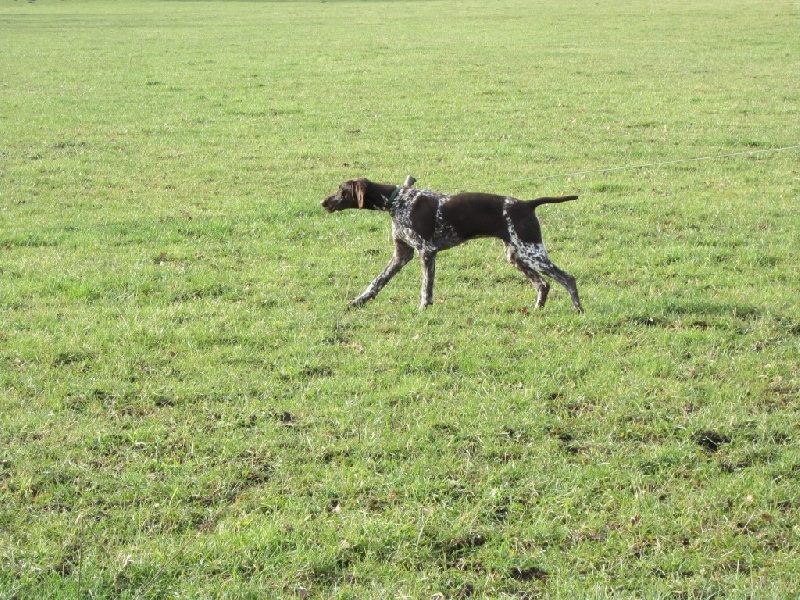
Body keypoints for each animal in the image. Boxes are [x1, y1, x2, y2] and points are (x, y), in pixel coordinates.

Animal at [318, 177, 580, 310]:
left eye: (341, 190)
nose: (323, 202)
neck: (397, 202)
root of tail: (527, 204)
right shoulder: (402, 254)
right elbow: (377, 282)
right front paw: (358, 301)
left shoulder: (426, 252)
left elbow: (426, 289)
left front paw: (423, 310)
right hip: (516, 256)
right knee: (543, 284)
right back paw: (537, 310)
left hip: (532, 252)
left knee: (567, 279)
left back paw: (578, 309)